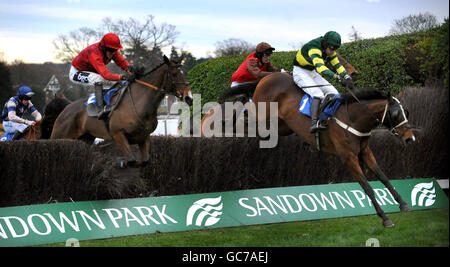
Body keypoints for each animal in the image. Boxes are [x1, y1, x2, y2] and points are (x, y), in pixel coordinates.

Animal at [49, 55, 193, 166]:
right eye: (174, 74)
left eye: (185, 73)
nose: (189, 97)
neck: (139, 104)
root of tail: (66, 109)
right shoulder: (118, 134)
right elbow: (131, 161)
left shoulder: (144, 137)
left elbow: (144, 161)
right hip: (61, 136)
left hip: (85, 139)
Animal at [253, 73, 414, 228]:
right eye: (396, 114)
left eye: (406, 112)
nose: (409, 138)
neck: (353, 119)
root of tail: (267, 77)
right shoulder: (349, 157)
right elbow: (367, 187)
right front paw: (385, 218)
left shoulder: (365, 152)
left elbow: (384, 177)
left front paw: (403, 204)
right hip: (261, 117)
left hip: (283, 127)